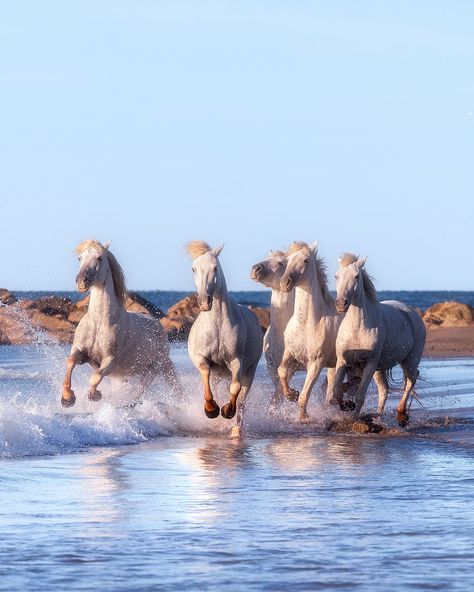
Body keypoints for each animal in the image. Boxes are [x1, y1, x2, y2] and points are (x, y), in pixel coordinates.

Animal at [62, 239, 181, 408]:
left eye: (99, 258)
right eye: (79, 258)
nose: (81, 281)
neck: (99, 323)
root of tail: (158, 327)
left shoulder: (110, 361)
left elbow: (95, 377)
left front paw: (94, 395)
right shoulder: (82, 353)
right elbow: (70, 361)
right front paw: (67, 398)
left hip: (154, 368)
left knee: (139, 390)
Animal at [187, 238, 262, 438]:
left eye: (215, 268)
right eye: (194, 269)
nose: (205, 301)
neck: (218, 325)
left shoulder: (237, 361)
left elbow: (235, 389)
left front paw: (227, 410)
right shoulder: (202, 359)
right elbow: (206, 378)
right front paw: (211, 409)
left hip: (250, 371)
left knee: (242, 399)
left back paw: (236, 430)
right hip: (219, 375)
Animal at [334, 254, 426, 426]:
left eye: (356, 276)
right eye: (336, 276)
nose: (341, 304)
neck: (357, 329)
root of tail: (412, 312)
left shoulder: (369, 364)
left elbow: (360, 396)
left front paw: (353, 419)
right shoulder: (343, 362)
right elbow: (336, 391)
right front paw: (347, 406)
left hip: (409, 361)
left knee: (412, 379)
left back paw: (401, 413)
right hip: (380, 369)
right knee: (384, 390)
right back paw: (375, 417)